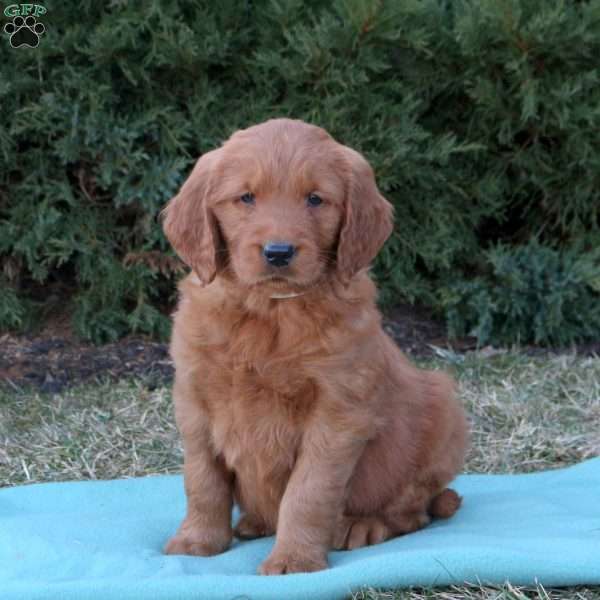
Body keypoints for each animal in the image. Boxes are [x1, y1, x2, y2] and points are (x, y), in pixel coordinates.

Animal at [161, 117, 468, 572]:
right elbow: (202, 480)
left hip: (443, 410)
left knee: (413, 509)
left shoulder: (337, 412)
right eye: (246, 197)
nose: (278, 252)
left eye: (315, 199)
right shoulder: (194, 400)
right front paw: (197, 540)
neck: (270, 310)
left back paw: (363, 525)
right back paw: (254, 522)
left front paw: (294, 559)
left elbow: (307, 492)